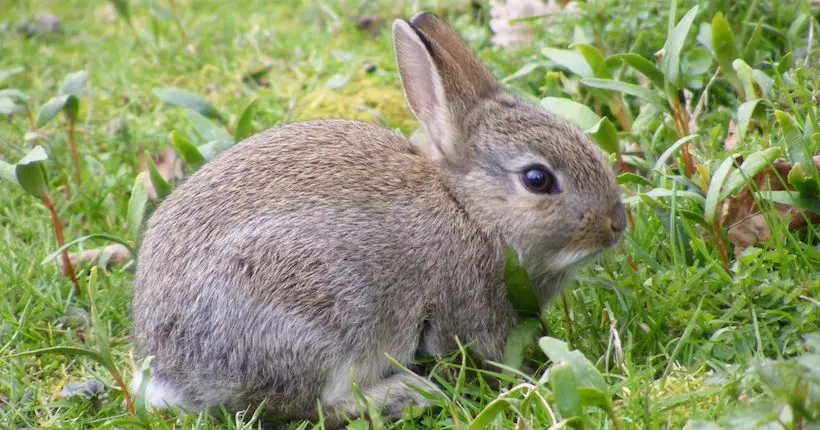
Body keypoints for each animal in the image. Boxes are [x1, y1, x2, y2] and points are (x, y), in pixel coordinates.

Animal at [131, 10, 624, 426]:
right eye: (538, 179)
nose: (616, 225)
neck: (468, 208)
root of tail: (174, 373)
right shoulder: (470, 305)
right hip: (316, 317)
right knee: (312, 405)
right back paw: (408, 393)